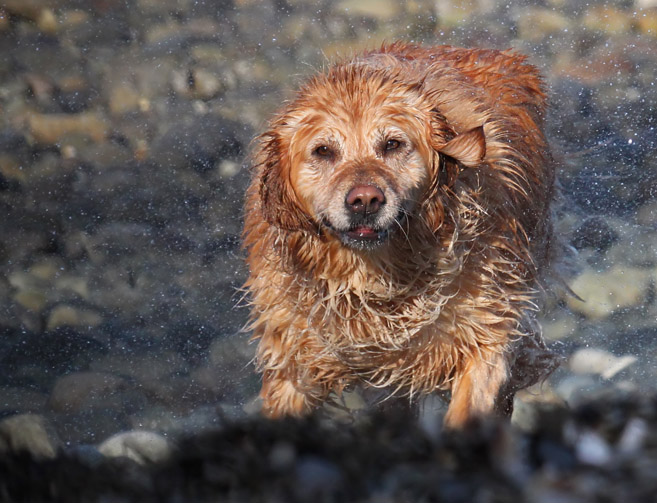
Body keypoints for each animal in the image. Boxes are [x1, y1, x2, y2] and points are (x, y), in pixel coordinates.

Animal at [243, 44, 556, 430]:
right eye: (323, 151)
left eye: (392, 144)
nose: (365, 200)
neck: (378, 277)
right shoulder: (293, 356)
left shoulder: (487, 328)